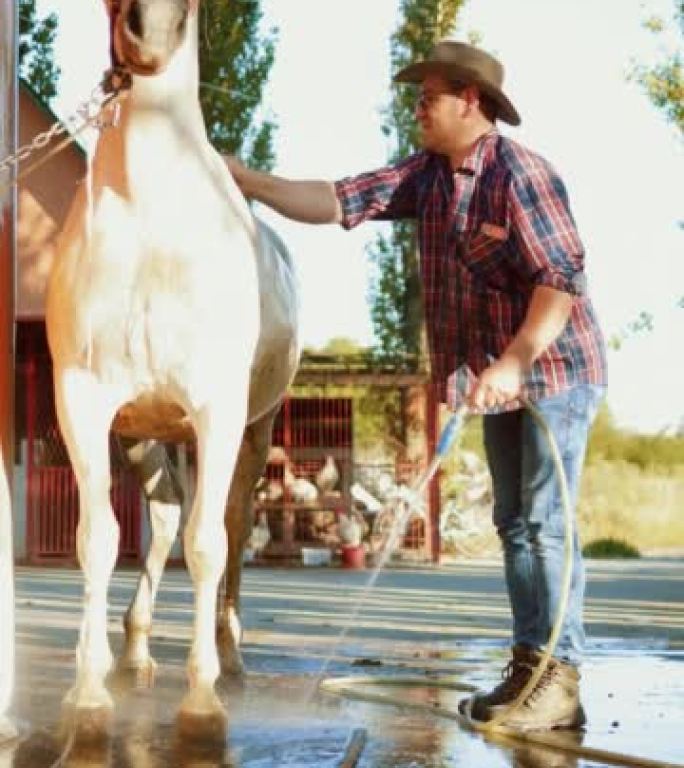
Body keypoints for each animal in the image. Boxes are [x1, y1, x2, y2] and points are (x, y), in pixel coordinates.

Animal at [44, 0, 298, 740]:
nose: (146, 36)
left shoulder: (216, 409)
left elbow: (208, 544)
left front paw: (202, 702)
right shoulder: (85, 401)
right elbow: (99, 537)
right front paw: (88, 695)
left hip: (253, 431)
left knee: (233, 527)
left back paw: (231, 654)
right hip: (147, 433)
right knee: (161, 520)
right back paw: (135, 650)